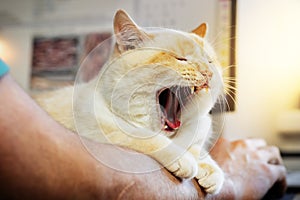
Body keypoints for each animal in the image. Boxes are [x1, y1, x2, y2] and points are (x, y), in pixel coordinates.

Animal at [34, 9, 224, 194]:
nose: (208, 73)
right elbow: (145, 138)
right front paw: (185, 159)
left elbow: (200, 152)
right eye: (181, 59)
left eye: (209, 61)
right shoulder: (101, 131)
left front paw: (209, 169)